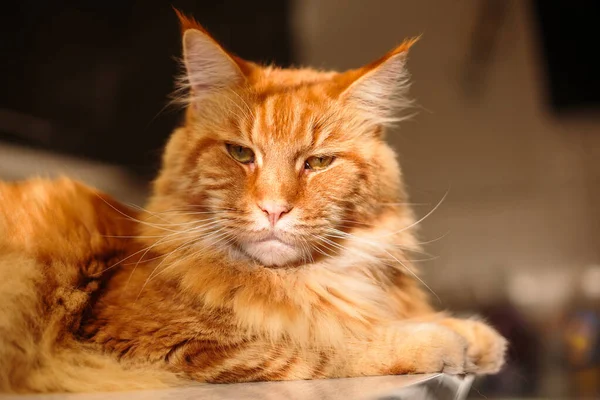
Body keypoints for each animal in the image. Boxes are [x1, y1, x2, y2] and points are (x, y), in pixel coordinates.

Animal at [0, 11, 506, 394]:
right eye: (241, 154)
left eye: (318, 162)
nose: (274, 209)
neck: (310, 280)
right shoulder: (159, 343)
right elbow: (327, 342)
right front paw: (437, 339)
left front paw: (470, 332)